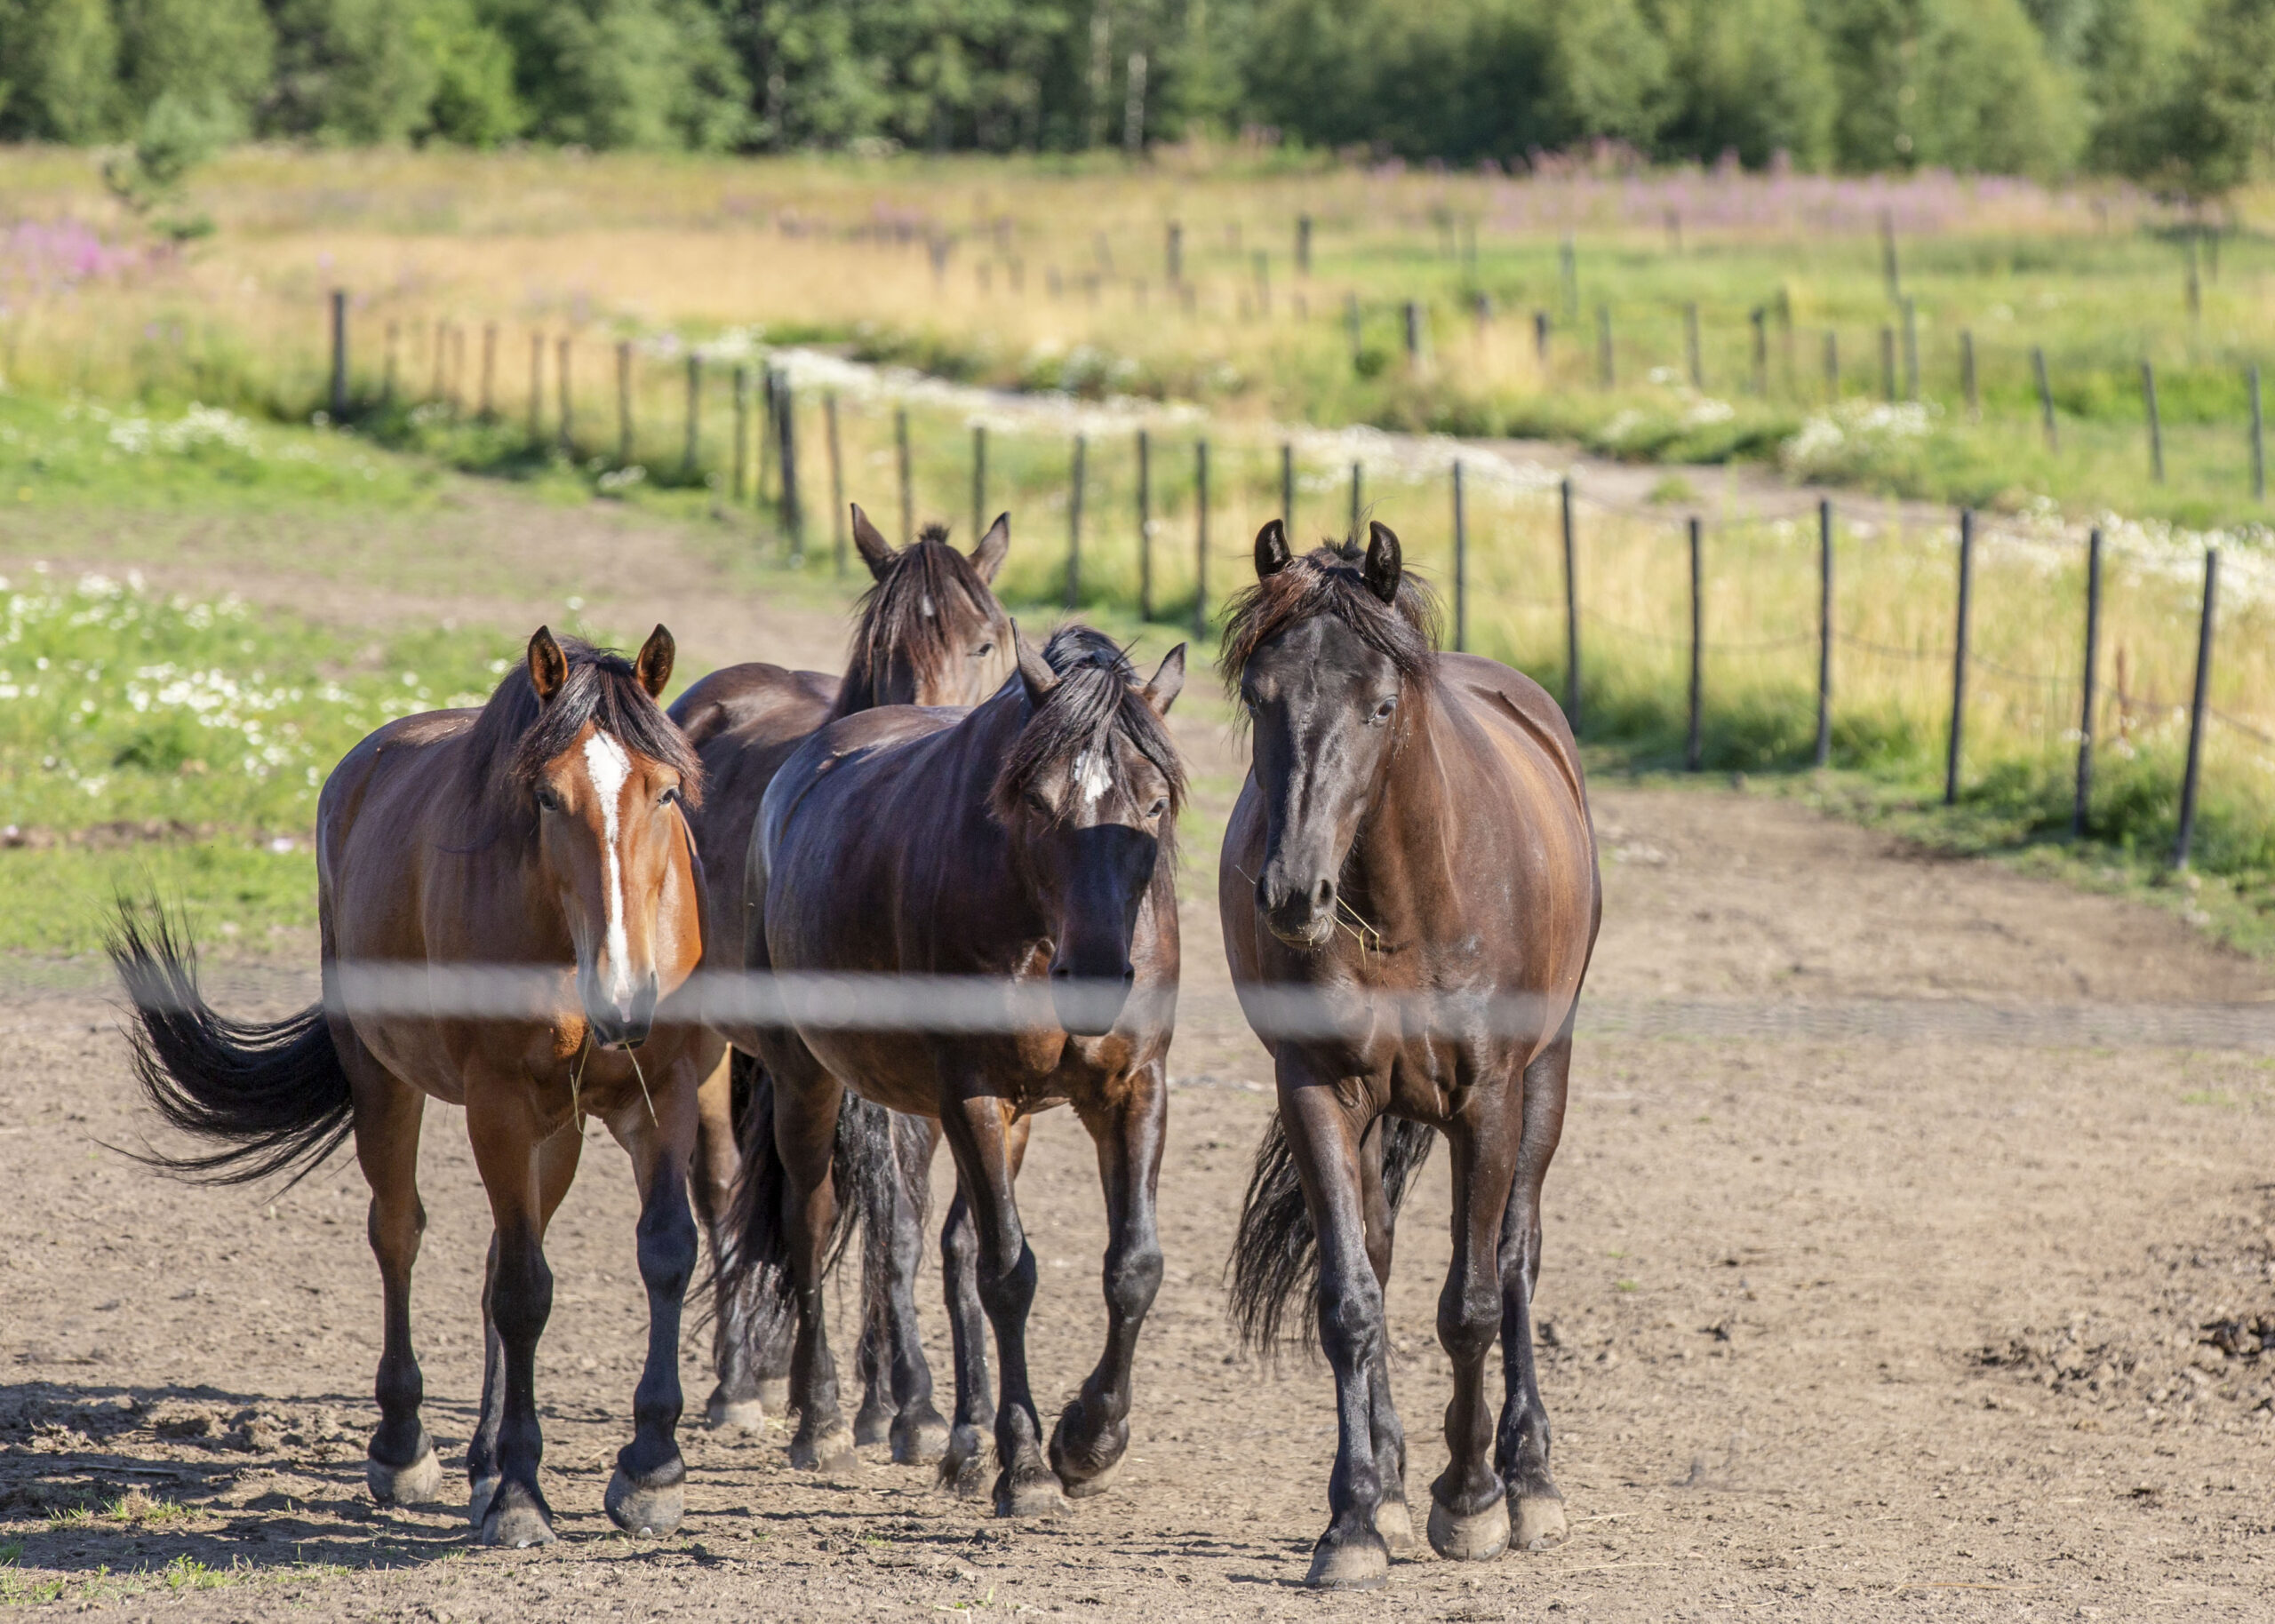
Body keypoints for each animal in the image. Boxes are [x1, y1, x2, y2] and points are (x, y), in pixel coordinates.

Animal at [107, 623, 705, 1546]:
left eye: (666, 793)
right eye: (546, 798)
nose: (624, 992)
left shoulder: (663, 1090)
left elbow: (665, 1253)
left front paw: (650, 1467)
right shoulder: (498, 1104)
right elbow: (523, 1292)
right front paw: (521, 1494)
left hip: (558, 1126)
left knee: (500, 1250)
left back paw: (485, 1457)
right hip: (384, 1078)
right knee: (399, 1234)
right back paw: (405, 1447)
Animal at [664, 500, 1005, 1446]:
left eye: (987, 641)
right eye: (884, 648)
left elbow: (902, 1218)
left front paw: (905, 1402)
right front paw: (880, 1399)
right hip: (714, 1045)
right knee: (722, 1187)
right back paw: (738, 1379)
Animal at [723, 627, 1192, 1509]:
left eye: (1154, 805)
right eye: (1038, 801)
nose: (1097, 975)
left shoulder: (1132, 1089)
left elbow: (1132, 1267)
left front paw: (1090, 1439)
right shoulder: (971, 1094)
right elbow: (1009, 1273)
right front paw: (1030, 1464)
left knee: (954, 1245)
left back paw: (964, 1439)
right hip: (808, 1078)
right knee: (811, 1221)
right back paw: (823, 1422)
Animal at [1228, 525, 1601, 1592]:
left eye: (1381, 705)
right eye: (1258, 696)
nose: (1293, 894)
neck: (1406, 907)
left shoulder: (1488, 1102)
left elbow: (1471, 1300)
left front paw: (1471, 1500)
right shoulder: (1317, 1092)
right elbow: (1351, 1301)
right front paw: (1356, 1517)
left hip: (1546, 1080)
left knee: (1516, 1255)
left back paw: (1527, 1476)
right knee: (1384, 1258)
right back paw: (1391, 1484)